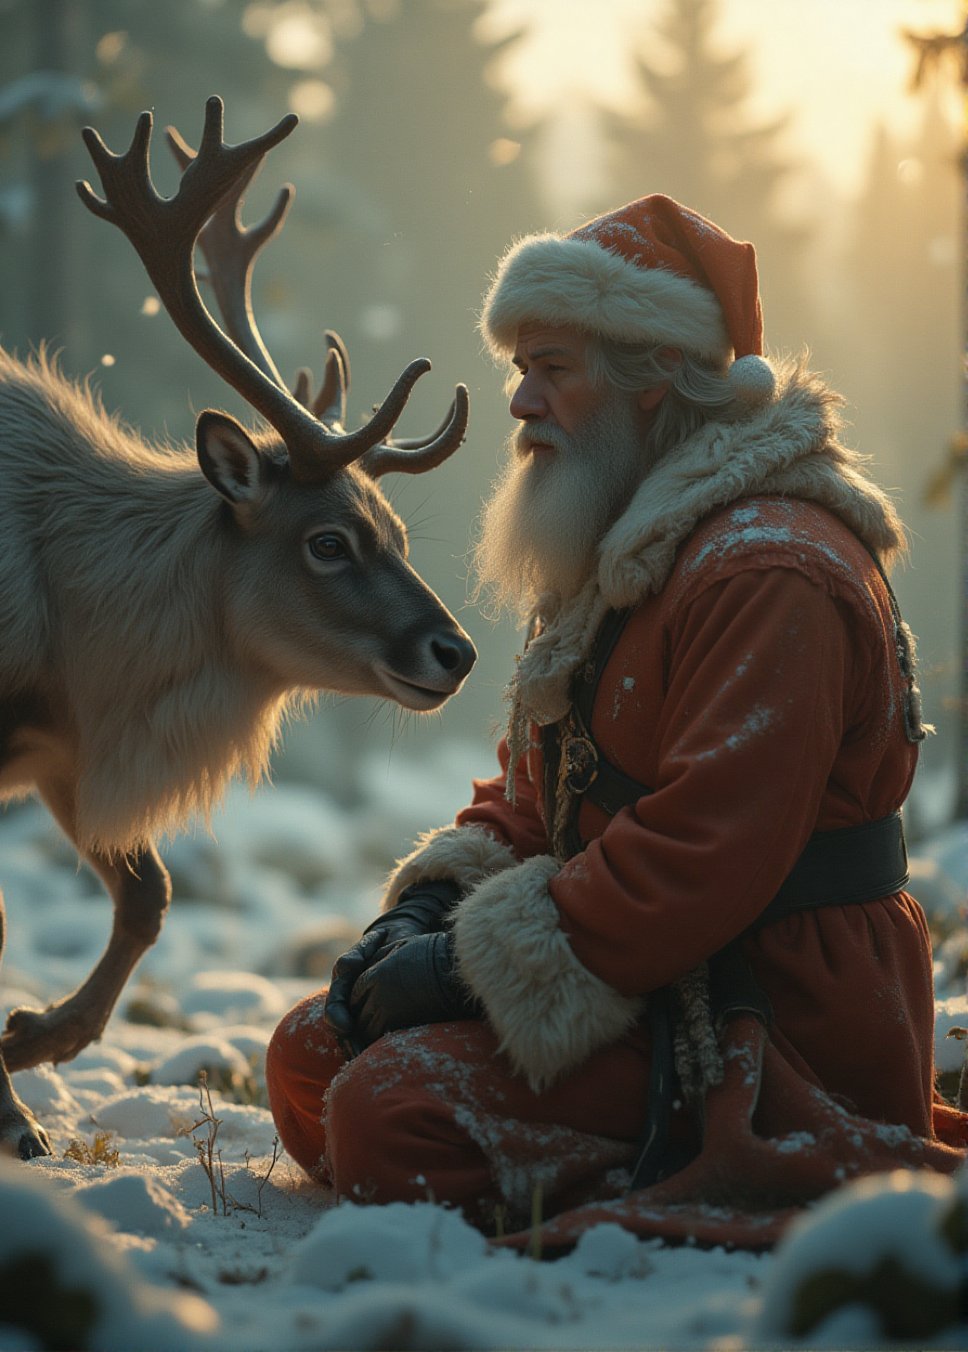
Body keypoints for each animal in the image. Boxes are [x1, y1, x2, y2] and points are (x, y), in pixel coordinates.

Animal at [0, 97, 476, 1159]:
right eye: (328, 542)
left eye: (396, 533)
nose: (457, 652)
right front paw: (15, 1105)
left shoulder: (65, 753)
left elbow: (150, 899)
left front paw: (30, 1040)